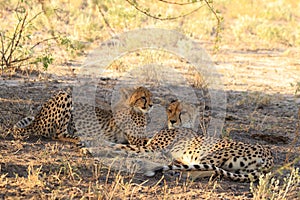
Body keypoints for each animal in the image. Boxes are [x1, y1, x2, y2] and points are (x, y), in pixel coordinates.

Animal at [113, 101, 274, 182]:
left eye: (182, 113)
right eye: (170, 110)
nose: (172, 121)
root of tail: (268, 154)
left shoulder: (153, 148)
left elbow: (122, 146)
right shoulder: (149, 145)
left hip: (211, 155)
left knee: (203, 170)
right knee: (212, 171)